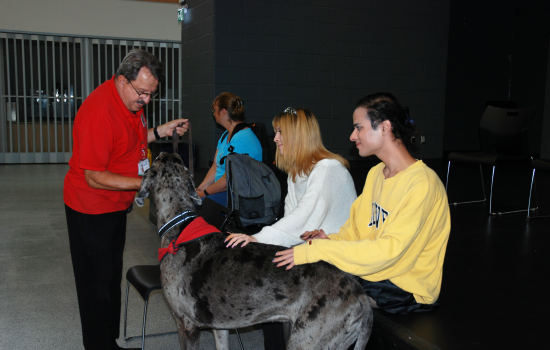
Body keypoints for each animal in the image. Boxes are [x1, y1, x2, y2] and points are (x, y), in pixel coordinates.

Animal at [135, 153, 374, 350]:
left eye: (156, 158)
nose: (165, 150)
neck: (179, 222)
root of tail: (361, 295)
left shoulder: (186, 325)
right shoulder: (220, 327)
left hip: (306, 341)